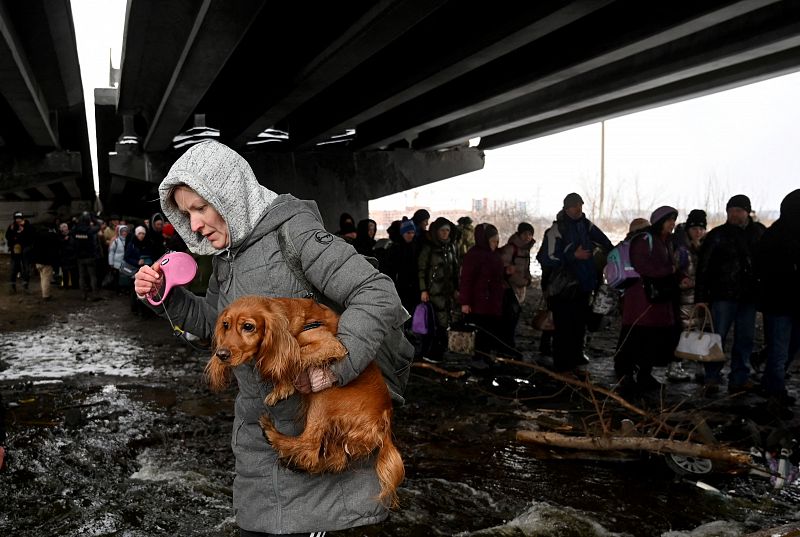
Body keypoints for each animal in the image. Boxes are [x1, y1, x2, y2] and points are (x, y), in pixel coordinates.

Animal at [206, 296, 404, 504]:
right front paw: (282, 387)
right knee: (333, 460)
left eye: (248, 326)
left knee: (310, 446)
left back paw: (272, 434)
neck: (296, 321)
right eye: (225, 325)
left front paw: (283, 384)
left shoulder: (331, 345)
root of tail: (384, 420)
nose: (221, 355)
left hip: (326, 395)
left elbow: (294, 357)